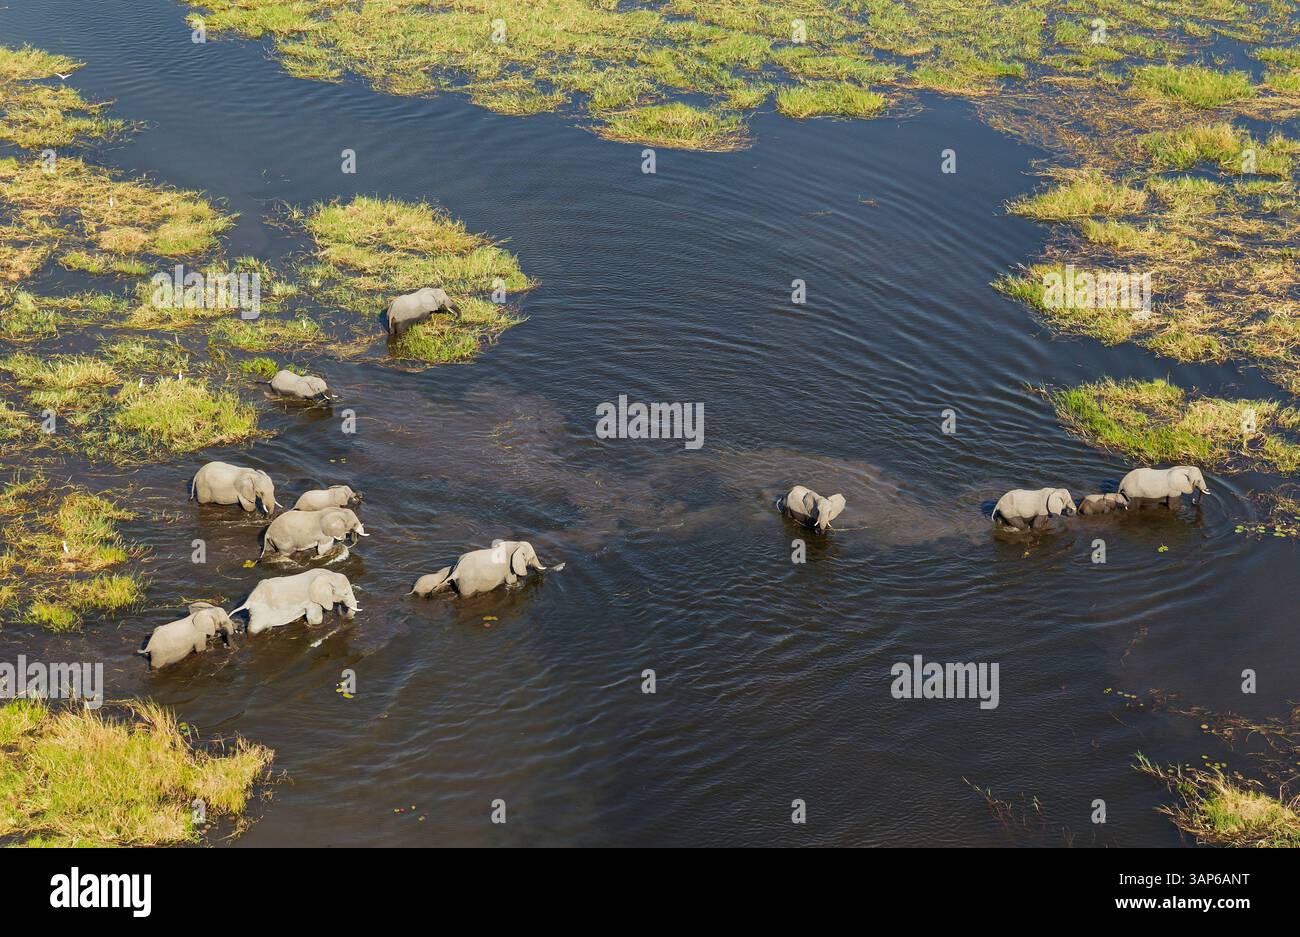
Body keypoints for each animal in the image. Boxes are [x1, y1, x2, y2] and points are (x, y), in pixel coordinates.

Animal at [231, 569, 360, 635]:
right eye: (346, 594)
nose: (340, 607)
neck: (328, 575)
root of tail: (248, 601)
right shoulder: (311, 601)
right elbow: (315, 620)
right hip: (260, 612)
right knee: (254, 629)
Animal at [408, 540, 560, 598]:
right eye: (532, 557)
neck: (516, 544)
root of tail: (457, 569)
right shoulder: (508, 568)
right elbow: (512, 582)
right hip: (468, 583)